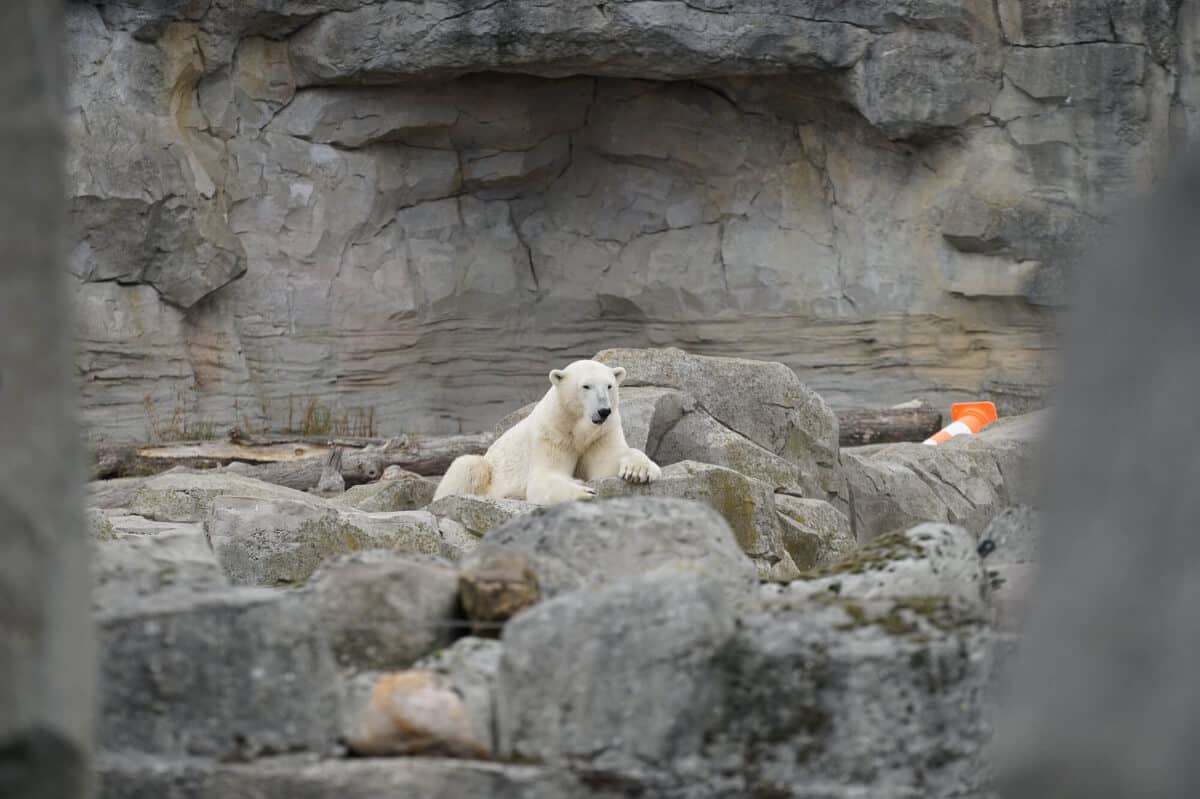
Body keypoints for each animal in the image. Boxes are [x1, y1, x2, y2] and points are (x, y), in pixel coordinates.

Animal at [432, 357, 662, 501]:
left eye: (609, 386)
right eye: (586, 386)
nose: (604, 410)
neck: (577, 428)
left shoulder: (602, 434)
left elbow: (607, 464)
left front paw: (638, 471)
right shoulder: (552, 434)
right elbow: (544, 478)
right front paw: (584, 490)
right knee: (467, 466)